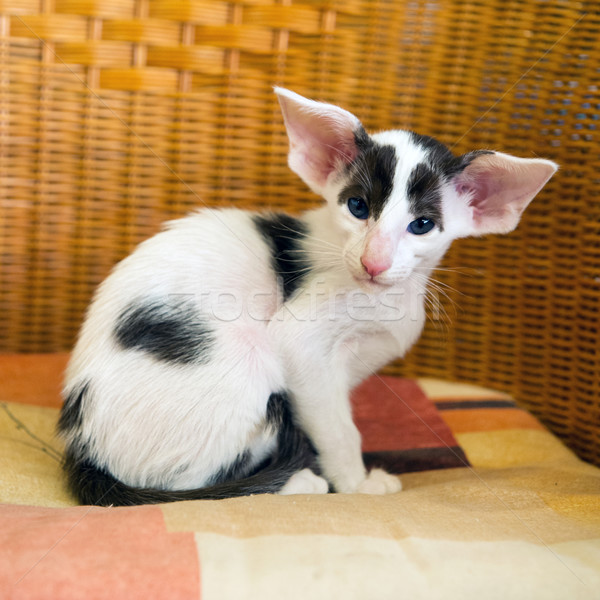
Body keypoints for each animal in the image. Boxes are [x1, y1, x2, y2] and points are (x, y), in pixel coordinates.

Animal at [57, 86, 556, 504]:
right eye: (358, 207)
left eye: (422, 225)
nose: (374, 262)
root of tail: (85, 447)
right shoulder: (301, 347)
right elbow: (336, 427)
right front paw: (356, 484)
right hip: (245, 361)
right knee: (189, 485)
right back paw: (297, 483)